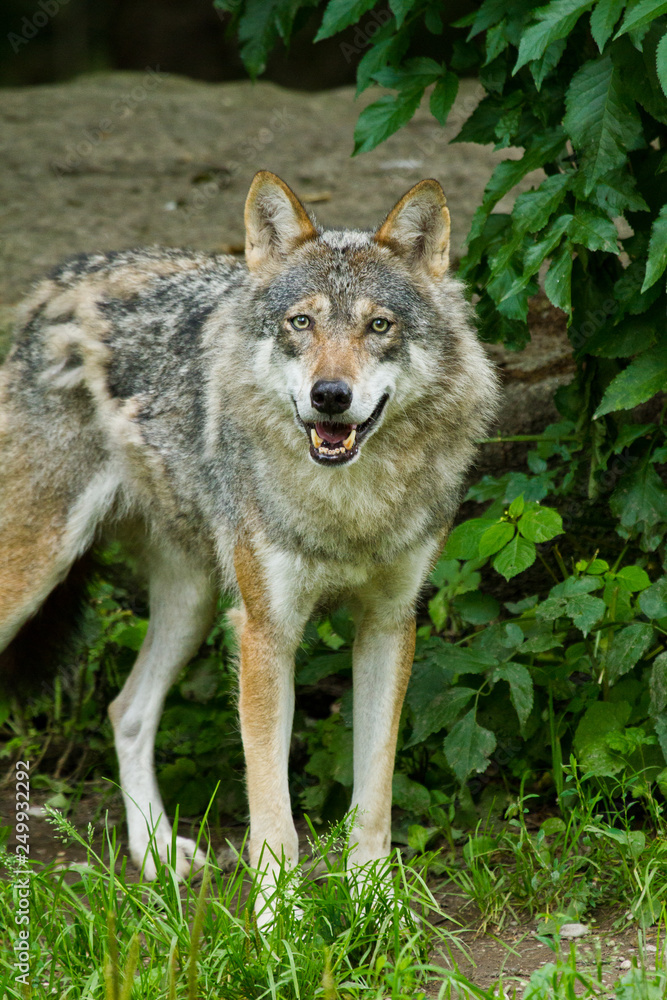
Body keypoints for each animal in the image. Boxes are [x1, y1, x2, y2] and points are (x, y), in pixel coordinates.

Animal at [0, 176, 498, 904]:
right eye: (301, 323)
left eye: (378, 326)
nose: (329, 396)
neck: (348, 507)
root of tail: (53, 283)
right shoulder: (266, 633)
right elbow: (273, 821)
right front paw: (279, 922)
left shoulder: (388, 625)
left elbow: (373, 799)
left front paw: (375, 904)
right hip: (39, 575)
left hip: (194, 602)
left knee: (126, 709)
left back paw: (156, 853)